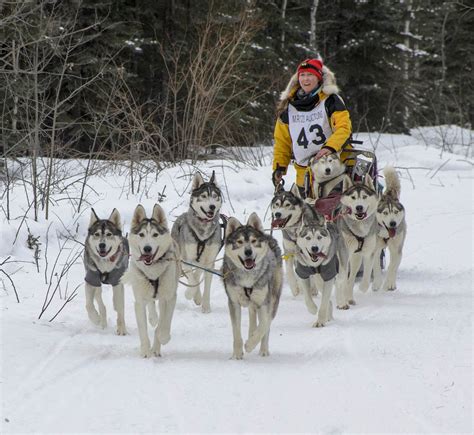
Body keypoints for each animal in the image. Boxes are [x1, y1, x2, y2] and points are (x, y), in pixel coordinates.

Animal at [122, 204, 180, 358]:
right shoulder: (139, 301)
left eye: (155, 235)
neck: (153, 272)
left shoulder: (169, 298)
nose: (147, 248)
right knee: (151, 304)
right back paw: (153, 318)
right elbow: (143, 329)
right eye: (141, 234)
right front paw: (145, 351)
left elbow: (164, 324)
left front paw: (162, 339)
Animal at [172, 171, 224, 314]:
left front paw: (205, 306)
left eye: (215, 196)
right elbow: (192, 280)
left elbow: (203, 282)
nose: (212, 206)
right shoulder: (186, 259)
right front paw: (190, 294)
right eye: (203, 196)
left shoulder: (209, 262)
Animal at [222, 213, 282, 360]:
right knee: (252, 316)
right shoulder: (233, 303)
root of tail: (268, 236)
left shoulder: (265, 303)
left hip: (274, 297)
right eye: (239, 242)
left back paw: (263, 350)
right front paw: (237, 354)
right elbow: (236, 331)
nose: (248, 251)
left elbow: (264, 324)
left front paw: (250, 345)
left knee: (265, 326)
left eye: (254, 241)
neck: (248, 277)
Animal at [336, 175, 378, 308]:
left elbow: (367, 274)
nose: (359, 207)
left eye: (364, 196)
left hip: (355, 258)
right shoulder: (344, 252)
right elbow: (342, 278)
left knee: (351, 276)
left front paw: (362, 287)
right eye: (353, 197)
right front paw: (341, 303)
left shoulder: (368, 252)